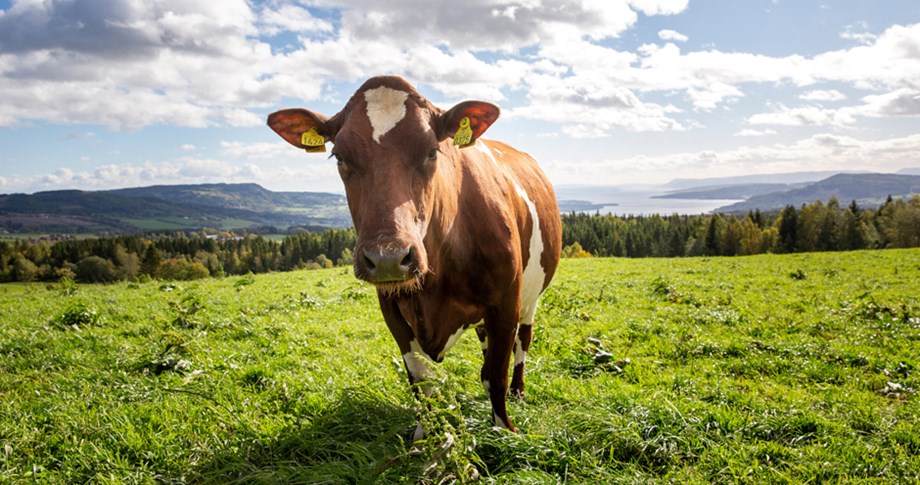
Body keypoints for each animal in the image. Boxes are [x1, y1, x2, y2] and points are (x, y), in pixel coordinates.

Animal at [268, 74, 560, 434]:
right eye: (339, 157)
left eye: (432, 151)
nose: (388, 257)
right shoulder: (393, 310)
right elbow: (423, 380)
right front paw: (425, 436)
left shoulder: (506, 302)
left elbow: (498, 375)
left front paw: (504, 431)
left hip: (531, 297)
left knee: (523, 341)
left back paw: (519, 391)